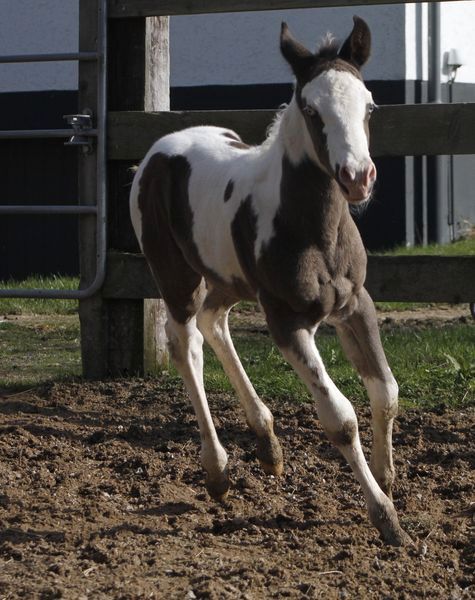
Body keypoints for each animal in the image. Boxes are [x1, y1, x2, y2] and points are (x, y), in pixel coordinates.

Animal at [130, 18, 410, 548]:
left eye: (369, 105)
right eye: (311, 109)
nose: (357, 178)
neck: (314, 227)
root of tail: (156, 151)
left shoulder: (355, 305)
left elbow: (385, 390)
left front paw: (386, 480)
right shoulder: (286, 320)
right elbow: (340, 419)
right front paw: (385, 516)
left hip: (229, 280)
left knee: (214, 323)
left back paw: (266, 441)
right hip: (175, 276)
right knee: (187, 345)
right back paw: (217, 469)